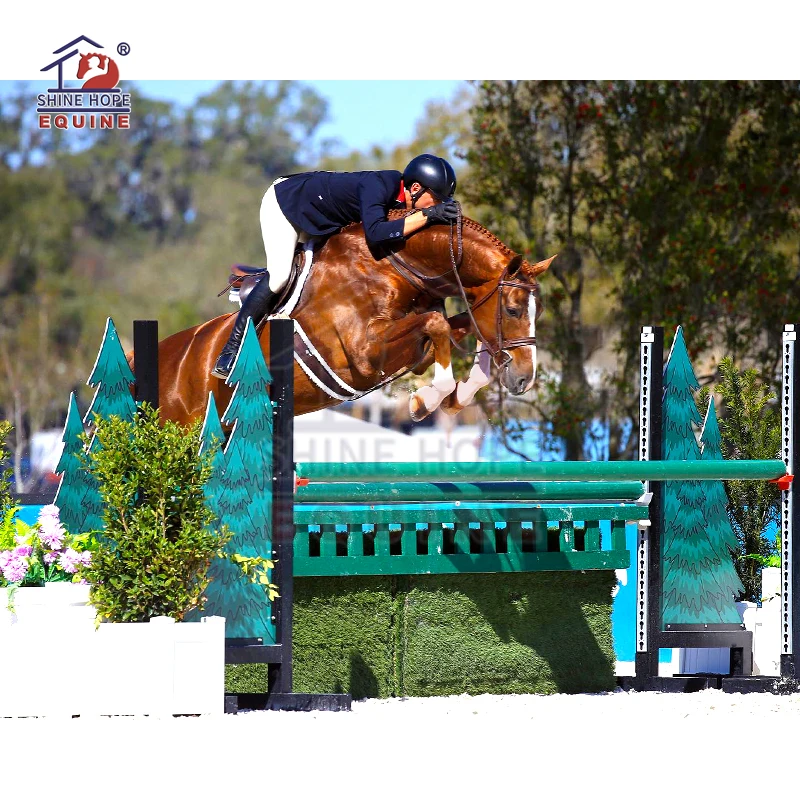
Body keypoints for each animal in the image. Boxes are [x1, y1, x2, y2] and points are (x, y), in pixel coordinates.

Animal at [149, 211, 554, 429]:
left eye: (538, 312)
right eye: (513, 309)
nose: (524, 380)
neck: (391, 265)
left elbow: (463, 329)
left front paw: (460, 394)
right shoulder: (362, 354)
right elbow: (437, 326)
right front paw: (427, 400)